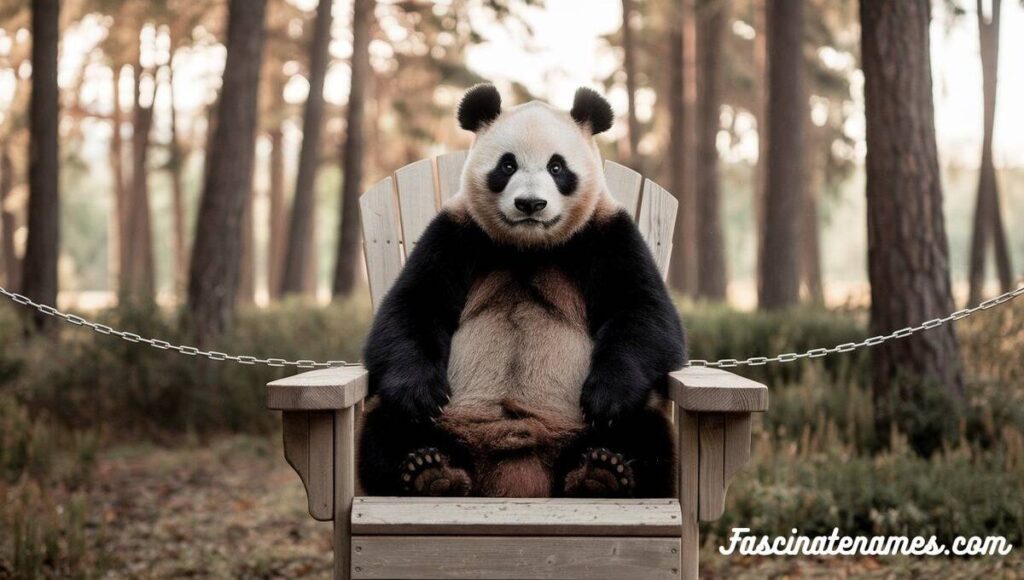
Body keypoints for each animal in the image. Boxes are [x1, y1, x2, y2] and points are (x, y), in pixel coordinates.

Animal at [356, 85, 684, 500]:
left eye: (557, 168)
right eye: (507, 166)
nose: (530, 203)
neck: (528, 246)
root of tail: (518, 474)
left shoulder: (607, 233)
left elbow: (643, 312)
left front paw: (608, 398)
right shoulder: (456, 233)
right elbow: (413, 306)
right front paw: (418, 394)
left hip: (587, 427)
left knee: (648, 433)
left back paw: (603, 472)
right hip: (453, 422)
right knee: (384, 429)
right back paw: (430, 471)